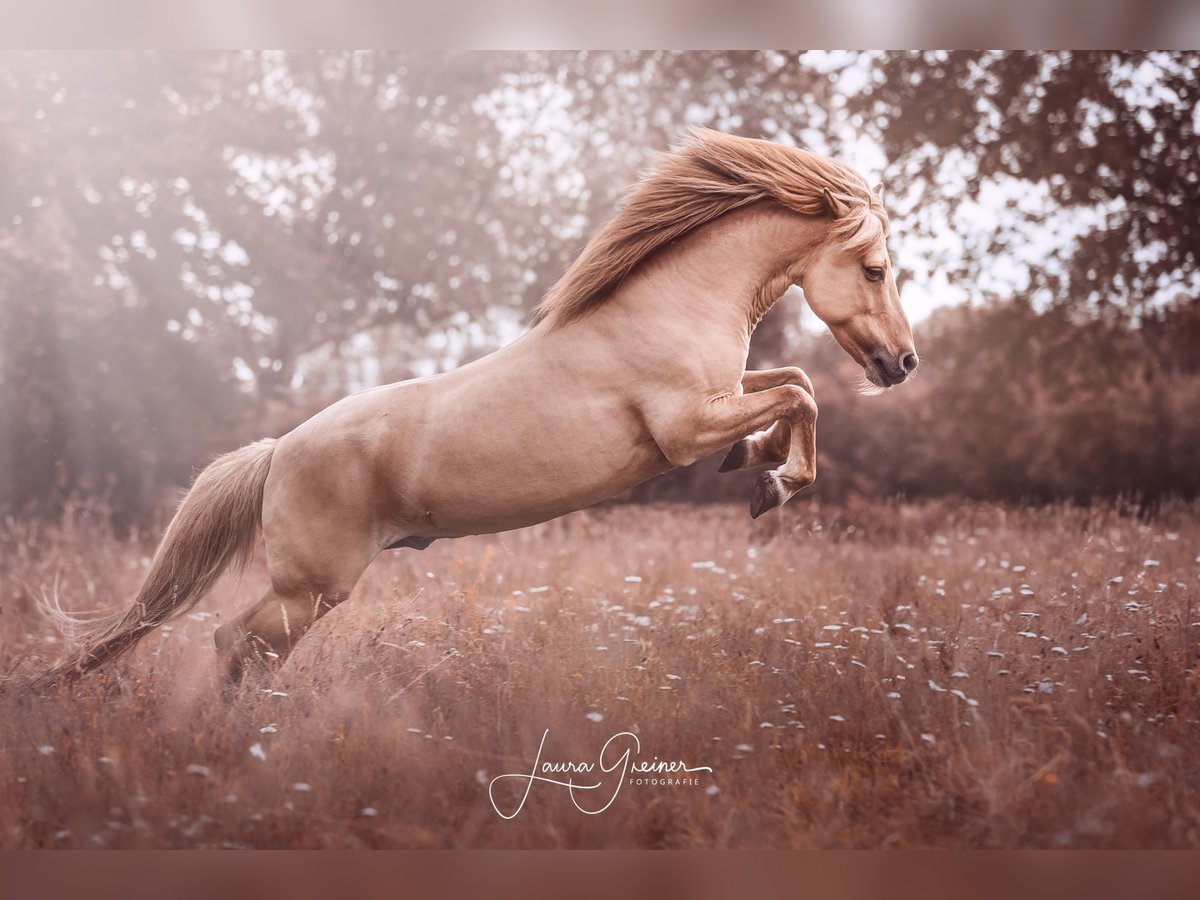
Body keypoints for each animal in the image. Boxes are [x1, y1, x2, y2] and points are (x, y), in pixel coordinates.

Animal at [45, 128, 917, 686]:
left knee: (240, 648)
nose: (903, 363)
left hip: (308, 591)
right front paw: (772, 483)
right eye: (874, 269)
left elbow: (789, 383)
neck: (668, 306)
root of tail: (277, 453)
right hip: (312, 587)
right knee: (236, 642)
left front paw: (760, 462)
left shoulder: (722, 396)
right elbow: (800, 393)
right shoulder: (685, 427)